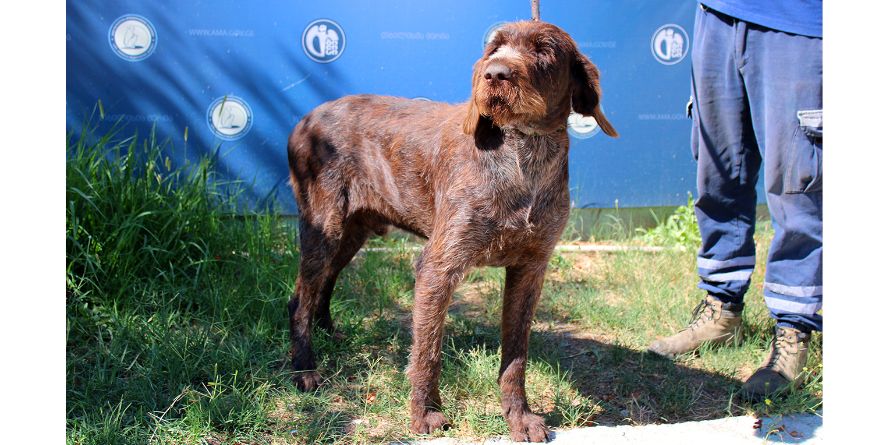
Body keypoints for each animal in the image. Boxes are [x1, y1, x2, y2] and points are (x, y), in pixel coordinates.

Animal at [286, 20, 616, 440]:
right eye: (493, 48)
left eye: (544, 50)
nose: (496, 74)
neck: (523, 154)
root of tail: (305, 118)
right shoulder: (438, 267)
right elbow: (428, 351)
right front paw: (425, 413)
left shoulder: (530, 269)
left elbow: (515, 357)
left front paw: (518, 416)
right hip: (324, 225)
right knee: (302, 297)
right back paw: (304, 368)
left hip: (352, 230)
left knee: (322, 283)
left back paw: (328, 331)